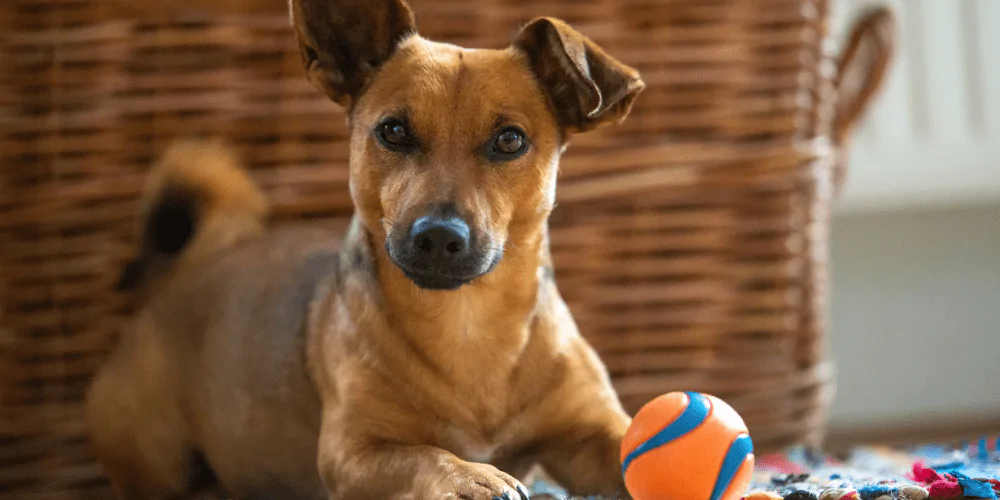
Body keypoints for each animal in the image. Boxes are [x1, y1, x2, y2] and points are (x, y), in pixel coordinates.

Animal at [86, 0, 648, 500]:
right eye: (393, 131)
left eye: (510, 140)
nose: (438, 235)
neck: (469, 327)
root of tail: (190, 269)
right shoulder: (352, 457)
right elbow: (424, 455)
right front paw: (470, 476)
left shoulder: (592, 434)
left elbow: (630, 443)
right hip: (157, 461)